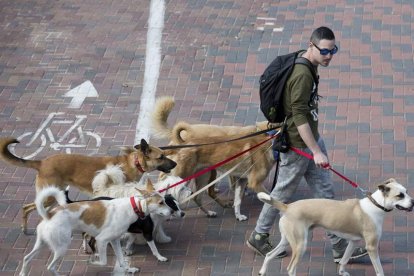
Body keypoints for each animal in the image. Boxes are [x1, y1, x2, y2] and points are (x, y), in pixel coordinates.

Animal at [0, 137, 176, 232]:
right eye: (161, 157)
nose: (175, 164)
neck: (135, 162)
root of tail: (41, 162)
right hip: (50, 196)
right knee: (26, 207)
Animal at [19, 183, 171, 276]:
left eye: (165, 200)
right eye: (161, 202)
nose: (171, 211)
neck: (134, 207)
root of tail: (49, 215)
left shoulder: (114, 241)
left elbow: (122, 260)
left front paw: (129, 269)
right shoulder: (102, 240)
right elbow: (103, 262)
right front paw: (92, 261)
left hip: (41, 244)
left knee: (26, 258)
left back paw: (22, 273)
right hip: (62, 247)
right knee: (50, 267)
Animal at [258, 179, 412, 276]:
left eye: (406, 191)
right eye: (399, 195)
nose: (413, 202)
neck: (376, 205)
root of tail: (287, 206)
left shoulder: (353, 241)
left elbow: (344, 260)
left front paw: (342, 272)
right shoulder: (372, 247)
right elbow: (379, 269)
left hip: (287, 241)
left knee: (269, 255)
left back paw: (262, 272)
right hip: (300, 244)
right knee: (290, 269)